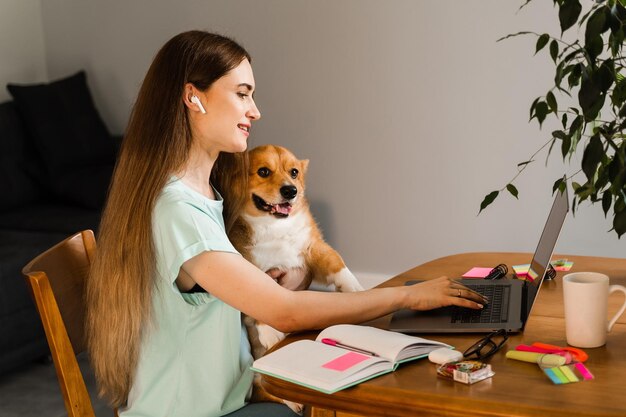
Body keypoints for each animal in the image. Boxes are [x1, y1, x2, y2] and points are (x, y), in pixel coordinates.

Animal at [227, 145, 364, 408]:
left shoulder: (312, 247)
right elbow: (260, 302)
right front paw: (269, 332)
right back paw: (293, 402)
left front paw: (353, 287)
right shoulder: (248, 270)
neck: (274, 226)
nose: (290, 191)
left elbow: (336, 261)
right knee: (265, 389)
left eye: (294, 172)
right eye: (263, 171)